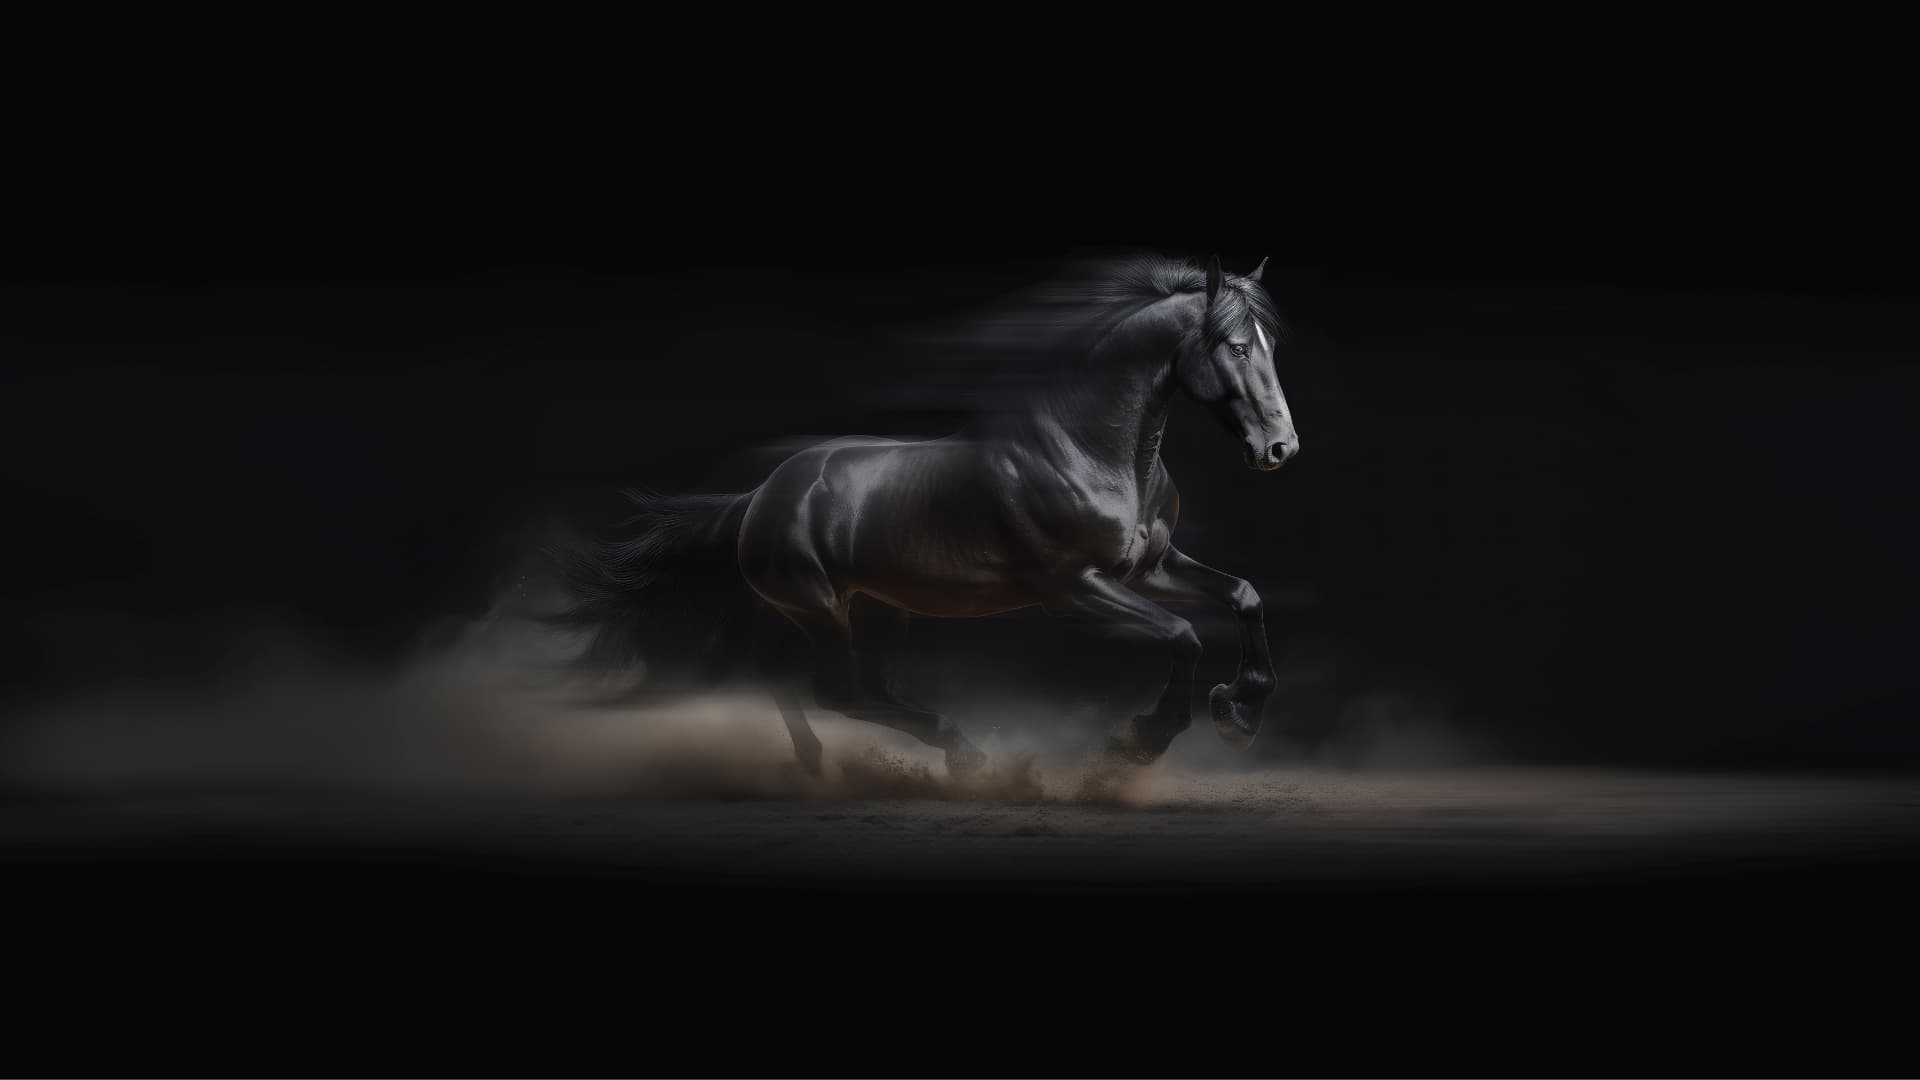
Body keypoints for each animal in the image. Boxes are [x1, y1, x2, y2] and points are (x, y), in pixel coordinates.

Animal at [553, 253, 1299, 775]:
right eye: (1236, 347)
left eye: (1271, 345)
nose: (1280, 448)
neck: (1094, 450)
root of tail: (758, 497)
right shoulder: (1072, 589)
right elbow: (1184, 635)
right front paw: (1143, 740)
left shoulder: (1150, 568)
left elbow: (1245, 594)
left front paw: (1240, 713)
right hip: (819, 607)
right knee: (835, 691)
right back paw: (959, 752)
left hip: (875, 606)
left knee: (817, 683)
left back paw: (827, 762)